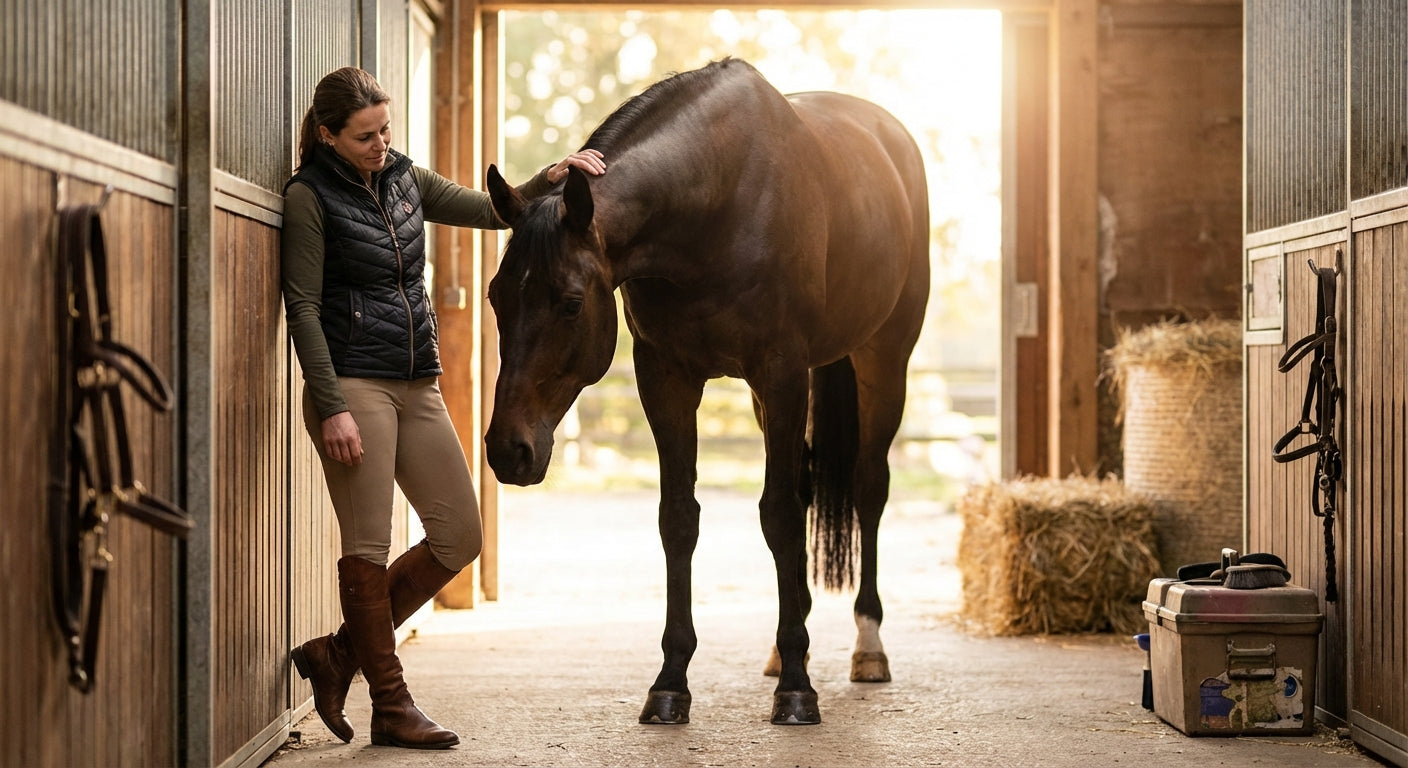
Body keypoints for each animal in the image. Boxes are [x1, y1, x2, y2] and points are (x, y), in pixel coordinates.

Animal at [483, 57, 929, 726]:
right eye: (495, 296)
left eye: (570, 302)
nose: (507, 451)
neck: (718, 201)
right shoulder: (667, 377)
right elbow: (679, 519)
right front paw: (671, 682)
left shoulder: (781, 370)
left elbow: (778, 515)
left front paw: (797, 689)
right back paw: (784, 643)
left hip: (882, 360)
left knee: (869, 487)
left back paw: (868, 646)